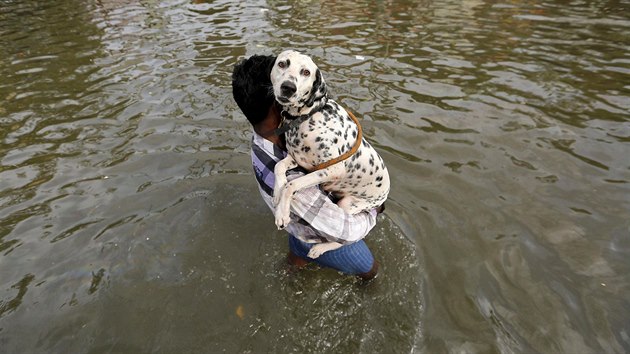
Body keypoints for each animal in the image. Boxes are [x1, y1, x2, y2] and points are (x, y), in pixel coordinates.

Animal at [272, 49, 390, 258]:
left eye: (306, 72)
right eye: (282, 63)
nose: (288, 87)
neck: (308, 116)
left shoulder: (331, 170)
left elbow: (291, 184)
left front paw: (282, 214)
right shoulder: (296, 159)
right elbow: (279, 168)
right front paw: (277, 194)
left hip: (348, 204)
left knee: (347, 240)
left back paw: (320, 248)